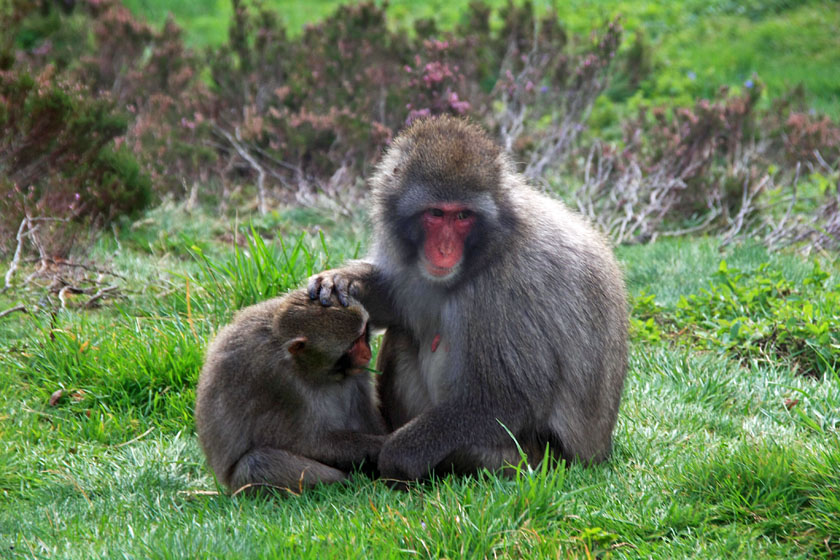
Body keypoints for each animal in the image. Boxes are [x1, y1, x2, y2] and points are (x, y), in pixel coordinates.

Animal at [194, 290, 384, 492]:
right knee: (256, 464)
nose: (367, 353)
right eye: (354, 343)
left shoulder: (357, 371)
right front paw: (384, 445)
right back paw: (350, 481)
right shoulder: (281, 382)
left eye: (364, 334)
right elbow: (311, 443)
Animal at [312, 116, 628, 484]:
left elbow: (508, 399)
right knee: (405, 333)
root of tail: (599, 454)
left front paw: (397, 456)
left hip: (535, 460)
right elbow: (401, 304)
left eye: (463, 216)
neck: (490, 246)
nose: (445, 250)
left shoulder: (507, 289)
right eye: (436, 213)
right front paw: (344, 282)